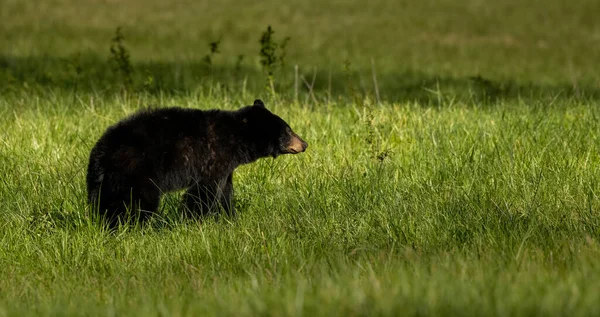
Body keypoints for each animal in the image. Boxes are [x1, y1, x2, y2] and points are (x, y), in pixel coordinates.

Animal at [86, 99, 308, 225]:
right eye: (288, 130)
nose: (304, 143)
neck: (236, 139)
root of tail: (102, 151)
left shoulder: (226, 166)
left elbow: (225, 191)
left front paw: (229, 217)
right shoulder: (213, 158)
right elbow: (204, 192)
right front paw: (194, 220)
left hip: (106, 181)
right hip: (136, 171)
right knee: (136, 202)